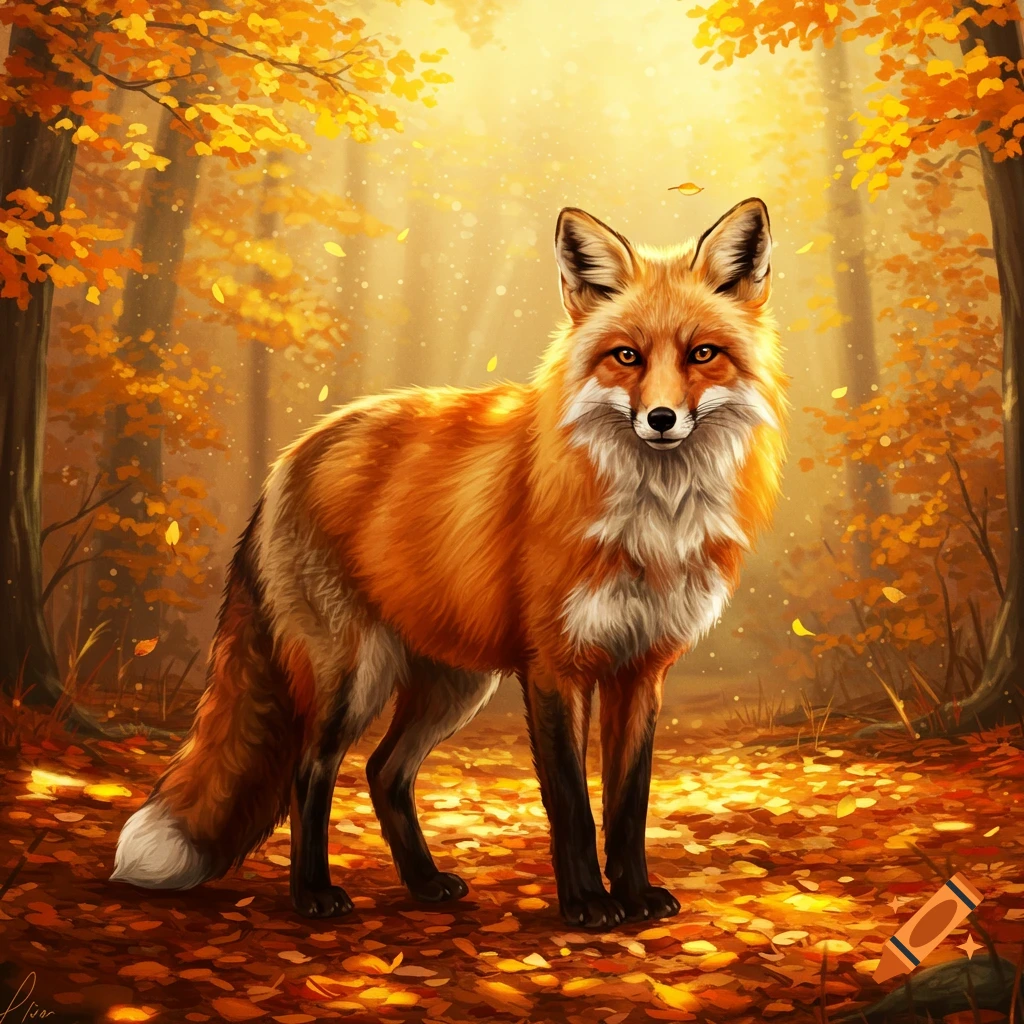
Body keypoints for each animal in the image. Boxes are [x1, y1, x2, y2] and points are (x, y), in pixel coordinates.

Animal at [111, 198, 787, 929]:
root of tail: (292, 455)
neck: (650, 520)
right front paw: (586, 903)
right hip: (354, 674)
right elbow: (574, 807)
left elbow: (628, 804)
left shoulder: (642, 669)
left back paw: (423, 882)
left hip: (455, 683)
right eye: (626, 356)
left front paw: (633, 895)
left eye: (702, 354)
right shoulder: (555, 668)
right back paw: (314, 894)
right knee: (310, 772)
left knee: (384, 772)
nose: (661, 418)